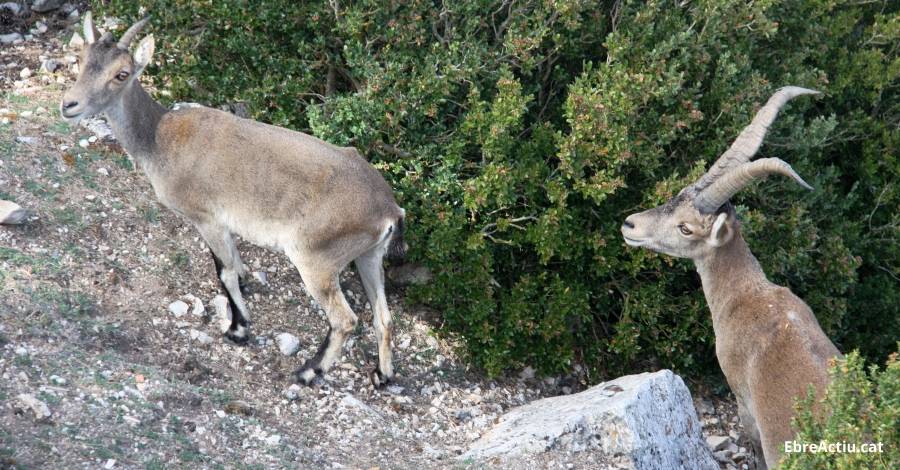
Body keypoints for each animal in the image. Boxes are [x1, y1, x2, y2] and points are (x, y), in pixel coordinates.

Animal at [64, 13, 412, 390]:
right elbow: (233, 265)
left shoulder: (207, 218)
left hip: (315, 259)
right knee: (384, 317)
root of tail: (389, 210)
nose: (69, 105)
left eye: (122, 73)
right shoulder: (223, 225)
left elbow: (225, 272)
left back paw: (307, 371)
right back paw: (382, 375)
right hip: (369, 256)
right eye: (81, 60)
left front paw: (238, 329)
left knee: (345, 319)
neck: (158, 139)